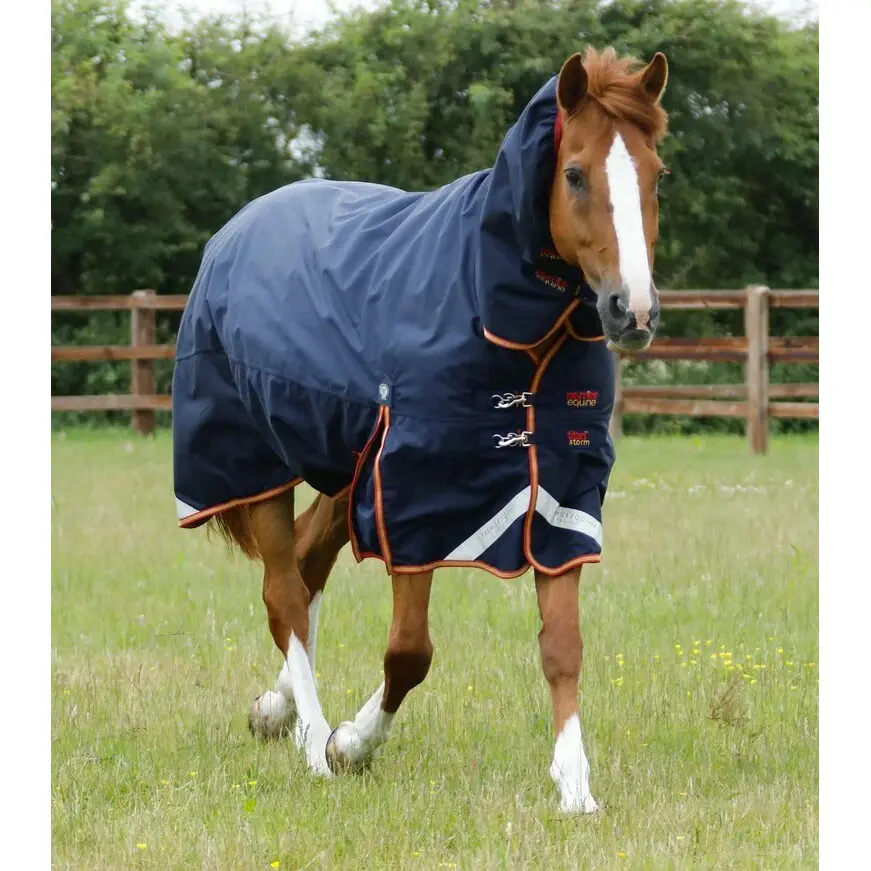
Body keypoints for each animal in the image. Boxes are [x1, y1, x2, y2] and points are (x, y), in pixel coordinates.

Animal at [172, 46, 669, 815]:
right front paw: (349, 745)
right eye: (576, 173)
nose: (632, 309)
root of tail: (236, 230)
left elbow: (563, 645)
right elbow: (410, 651)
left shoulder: (558, 496)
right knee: (284, 593)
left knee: (306, 569)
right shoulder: (415, 497)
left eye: (656, 173)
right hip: (259, 468)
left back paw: (274, 712)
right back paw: (311, 739)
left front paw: (575, 786)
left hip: (347, 474)